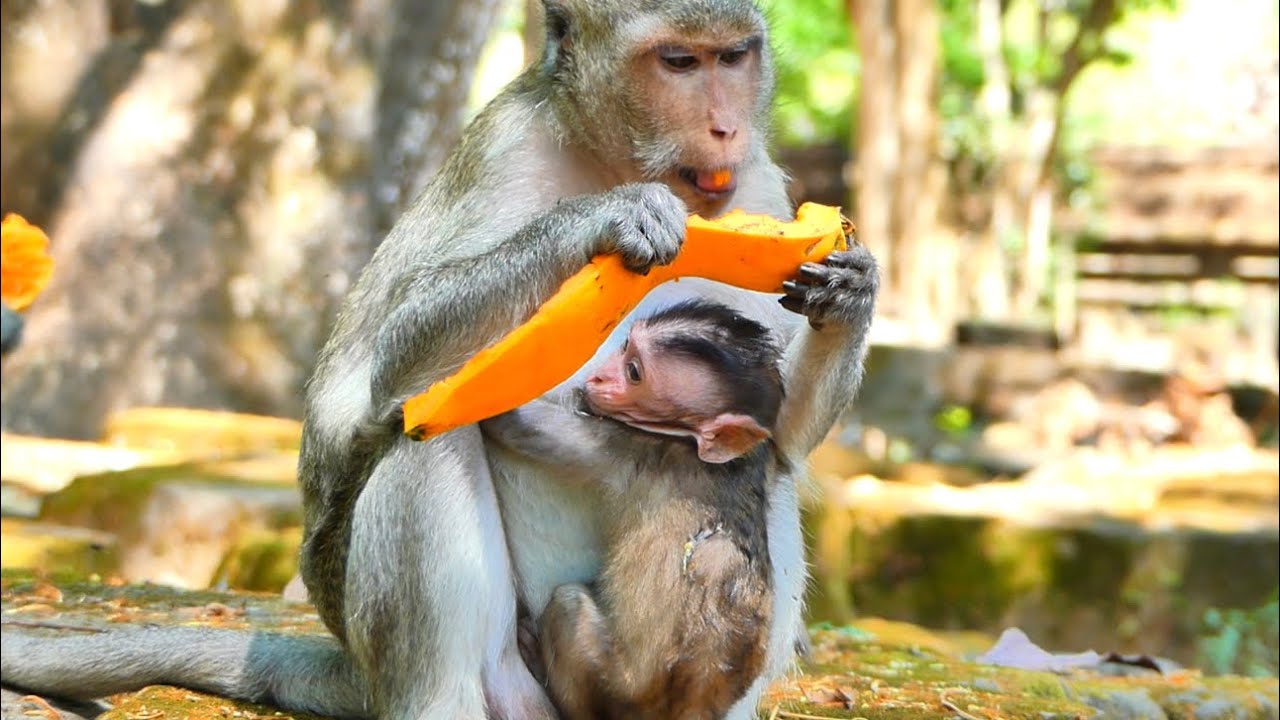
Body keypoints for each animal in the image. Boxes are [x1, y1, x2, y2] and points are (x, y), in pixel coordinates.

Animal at [483, 300, 786, 720]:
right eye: (625, 347)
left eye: (633, 373)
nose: (597, 377)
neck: (691, 443)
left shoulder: (630, 449)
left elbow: (518, 426)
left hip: (608, 684)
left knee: (568, 603)